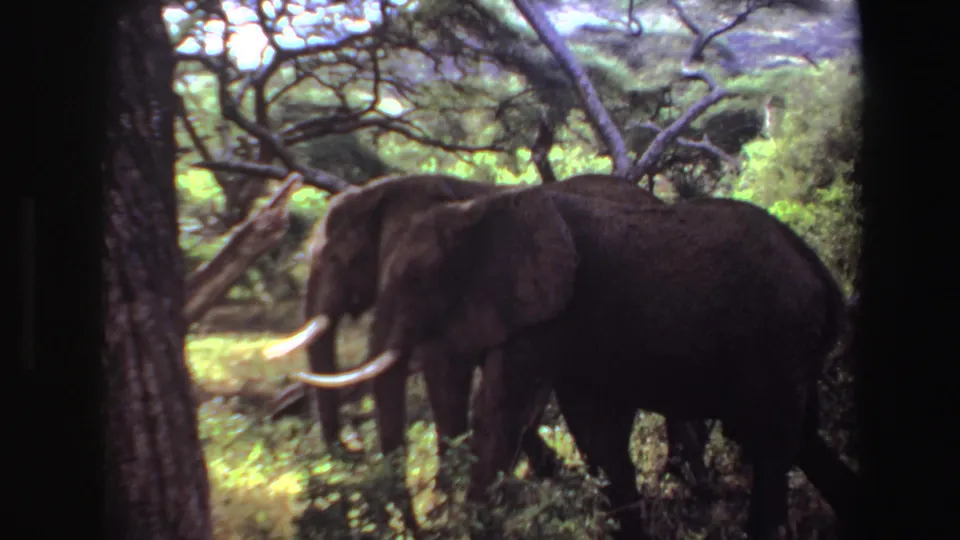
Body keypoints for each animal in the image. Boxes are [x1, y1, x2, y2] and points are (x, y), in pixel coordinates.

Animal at [290, 184, 859, 539]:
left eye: (416, 281)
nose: (352, 447)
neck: (479, 210)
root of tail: (824, 277)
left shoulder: (545, 312)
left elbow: (498, 414)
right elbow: (596, 435)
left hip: (778, 335)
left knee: (771, 441)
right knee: (794, 438)